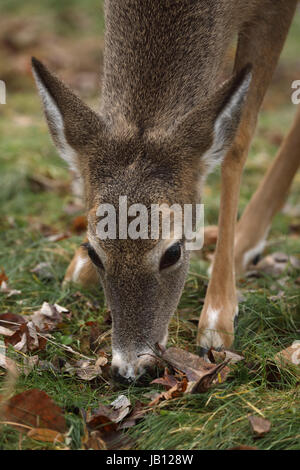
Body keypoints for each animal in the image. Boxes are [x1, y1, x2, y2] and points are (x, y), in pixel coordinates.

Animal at [31, 0, 298, 384]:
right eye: (94, 251)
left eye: (172, 253)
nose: (130, 369)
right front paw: (78, 268)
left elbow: (238, 140)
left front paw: (217, 319)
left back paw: (243, 246)